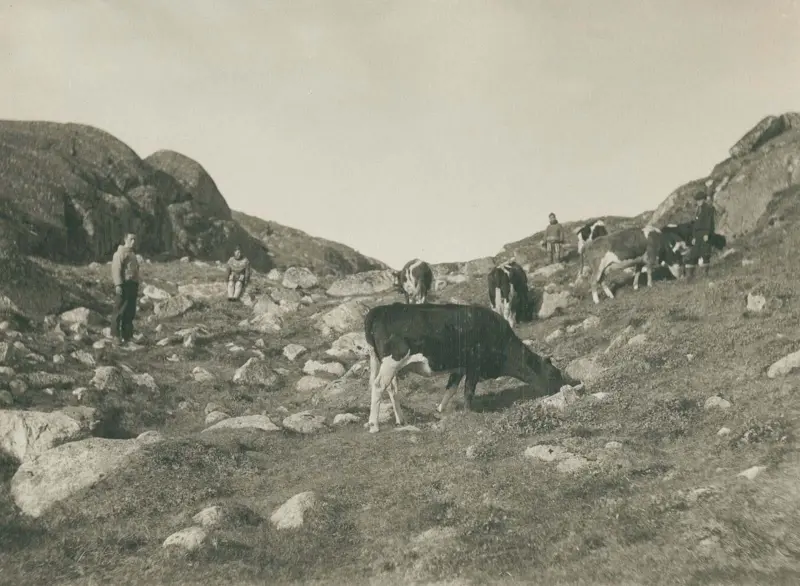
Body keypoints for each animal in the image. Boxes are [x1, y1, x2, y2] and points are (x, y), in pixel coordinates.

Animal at [363, 302, 578, 433]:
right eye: (554, 374)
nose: (566, 390)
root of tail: (379, 310)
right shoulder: (474, 364)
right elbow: (468, 390)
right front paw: (469, 412)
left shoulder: (460, 367)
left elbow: (451, 388)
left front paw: (441, 410)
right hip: (393, 359)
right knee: (379, 386)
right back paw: (374, 425)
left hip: (380, 361)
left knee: (390, 388)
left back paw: (401, 420)